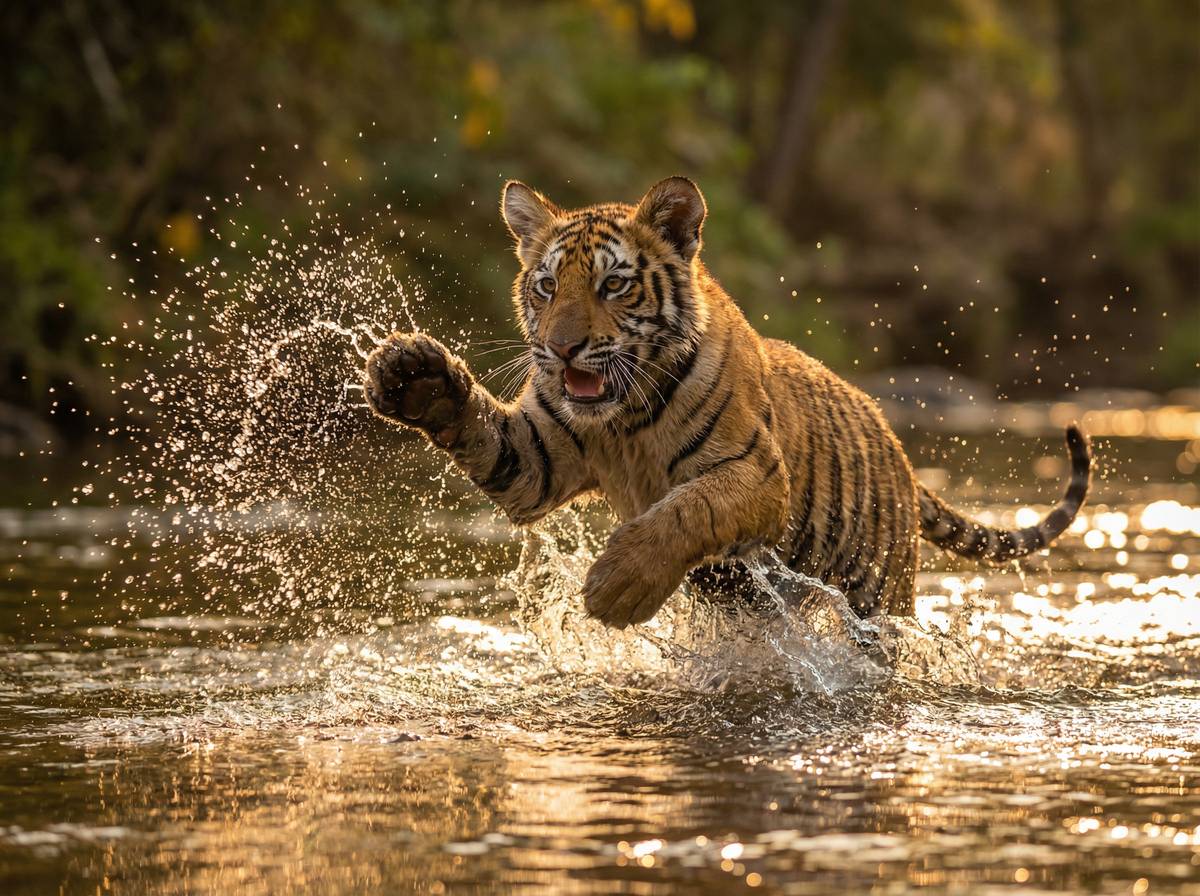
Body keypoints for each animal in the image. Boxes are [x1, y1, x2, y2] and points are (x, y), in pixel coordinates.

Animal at [363, 177, 1091, 629]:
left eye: (613, 284)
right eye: (546, 286)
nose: (562, 348)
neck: (621, 423)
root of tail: (904, 456)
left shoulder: (758, 474)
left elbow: (687, 509)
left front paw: (617, 589)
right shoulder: (538, 459)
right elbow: (485, 435)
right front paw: (414, 377)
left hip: (880, 596)